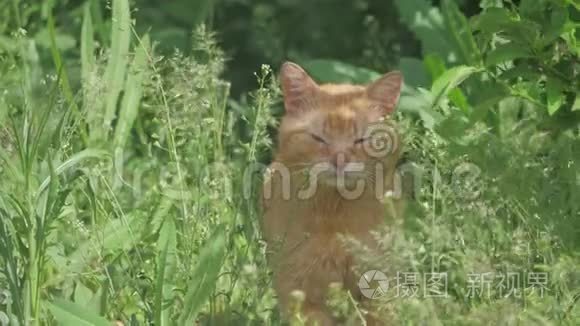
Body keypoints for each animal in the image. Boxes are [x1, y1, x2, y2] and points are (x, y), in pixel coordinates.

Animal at [260, 62, 404, 324]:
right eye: (319, 137)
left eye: (360, 139)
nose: (339, 159)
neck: (334, 212)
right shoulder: (299, 292)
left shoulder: (378, 288)